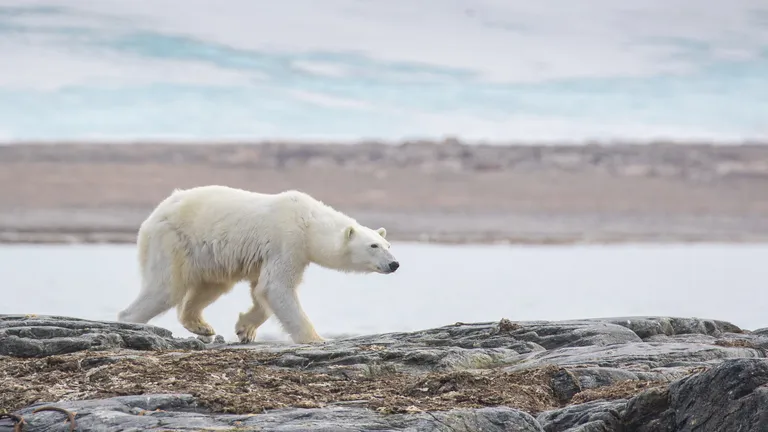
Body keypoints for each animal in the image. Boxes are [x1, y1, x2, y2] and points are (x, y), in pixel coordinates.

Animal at [116, 185, 400, 344]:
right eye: (373, 246)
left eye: (387, 245)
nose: (394, 264)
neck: (309, 222)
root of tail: (153, 216)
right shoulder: (288, 241)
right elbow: (276, 287)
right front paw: (317, 339)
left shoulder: (274, 254)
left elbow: (261, 290)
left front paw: (245, 329)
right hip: (172, 241)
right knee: (165, 288)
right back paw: (131, 322)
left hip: (207, 257)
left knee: (212, 286)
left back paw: (202, 326)